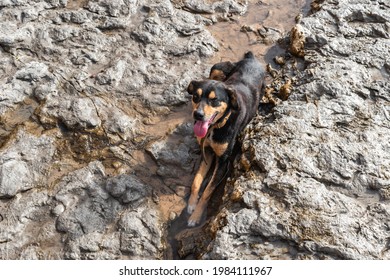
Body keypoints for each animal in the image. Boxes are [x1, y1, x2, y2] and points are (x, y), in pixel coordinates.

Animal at [187, 52, 266, 228]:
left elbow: (207, 191)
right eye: (195, 97)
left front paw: (196, 216)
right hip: (216, 68)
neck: (215, 127)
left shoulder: (223, 162)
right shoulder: (207, 152)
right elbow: (195, 182)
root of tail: (251, 58)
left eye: (214, 100)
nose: (198, 115)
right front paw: (191, 204)